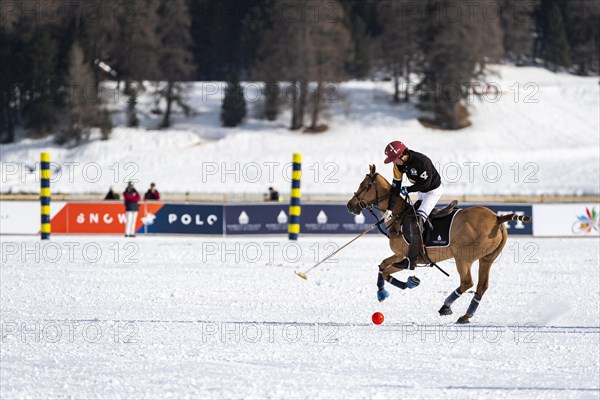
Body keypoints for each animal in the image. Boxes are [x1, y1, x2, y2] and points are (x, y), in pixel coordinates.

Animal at [346, 164, 528, 324]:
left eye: (364, 185)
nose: (349, 206)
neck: (399, 215)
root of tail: (498, 218)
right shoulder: (400, 254)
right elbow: (382, 266)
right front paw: (383, 292)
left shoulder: (408, 257)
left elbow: (387, 269)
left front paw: (407, 283)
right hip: (487, 259)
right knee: (482, 286)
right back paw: (465, 316)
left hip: (463, 258)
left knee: (467, 282)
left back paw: (445, 306)